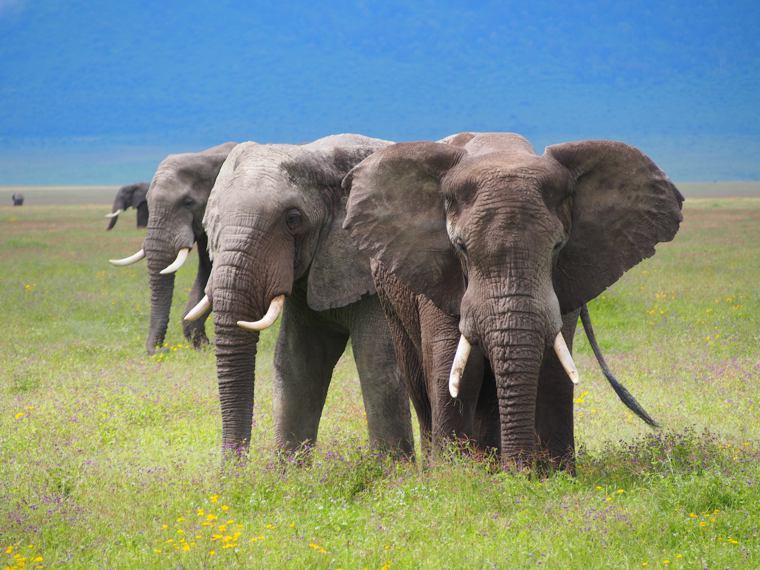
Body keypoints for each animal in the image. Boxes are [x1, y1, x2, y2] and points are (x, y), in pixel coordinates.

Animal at [108, 143, 237, 353]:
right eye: (148, 201)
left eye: (188, 202)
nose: (161, 350)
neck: (207, 156)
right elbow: (207, 269)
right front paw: (201, 345)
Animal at [184, 134, 414, 457]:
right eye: (211, 222)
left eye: (293, 219)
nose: (235, 467)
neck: (323, 158)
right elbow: (297, 365)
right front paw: (289, 470)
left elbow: (380, 365)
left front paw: (391, 470)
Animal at [342, 132, 684, 471]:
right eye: (460, 247)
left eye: (557, 247)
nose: (519, 470)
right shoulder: (438, 277)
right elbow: (456, 370)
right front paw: (455, 476)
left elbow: (553, 371)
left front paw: (553, 476)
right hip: (390, 301)